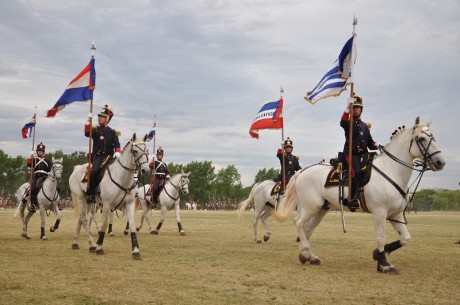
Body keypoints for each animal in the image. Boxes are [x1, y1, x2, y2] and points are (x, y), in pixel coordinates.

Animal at [274, 117, 446, 274]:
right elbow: (380, 237)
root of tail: (303, 171)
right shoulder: (380, 213)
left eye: (433, 137)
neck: (391, 170)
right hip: (311, 207)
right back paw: (305, 252)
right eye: (422, 138)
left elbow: (405, 238)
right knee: (298, 223)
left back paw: (309, 256)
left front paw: (378, 254)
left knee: (307, 229)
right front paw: (384, 264)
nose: (441, 162)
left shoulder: (395, 215)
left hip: (322, 209)